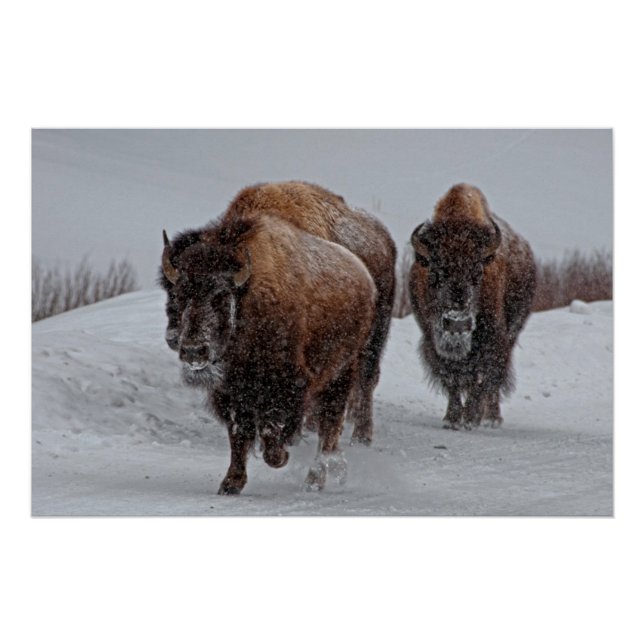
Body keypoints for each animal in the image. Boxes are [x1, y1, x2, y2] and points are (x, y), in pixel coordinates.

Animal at [408, 184, 536, 429]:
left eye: (477, 273)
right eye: (434, 273)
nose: (457, 324)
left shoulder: (493, 339)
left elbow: (482, 377)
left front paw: (470, 419)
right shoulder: (432, 339)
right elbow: (451, 377)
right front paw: (452, 419)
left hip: (512, 334)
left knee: (493, 381)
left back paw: (492, 418)